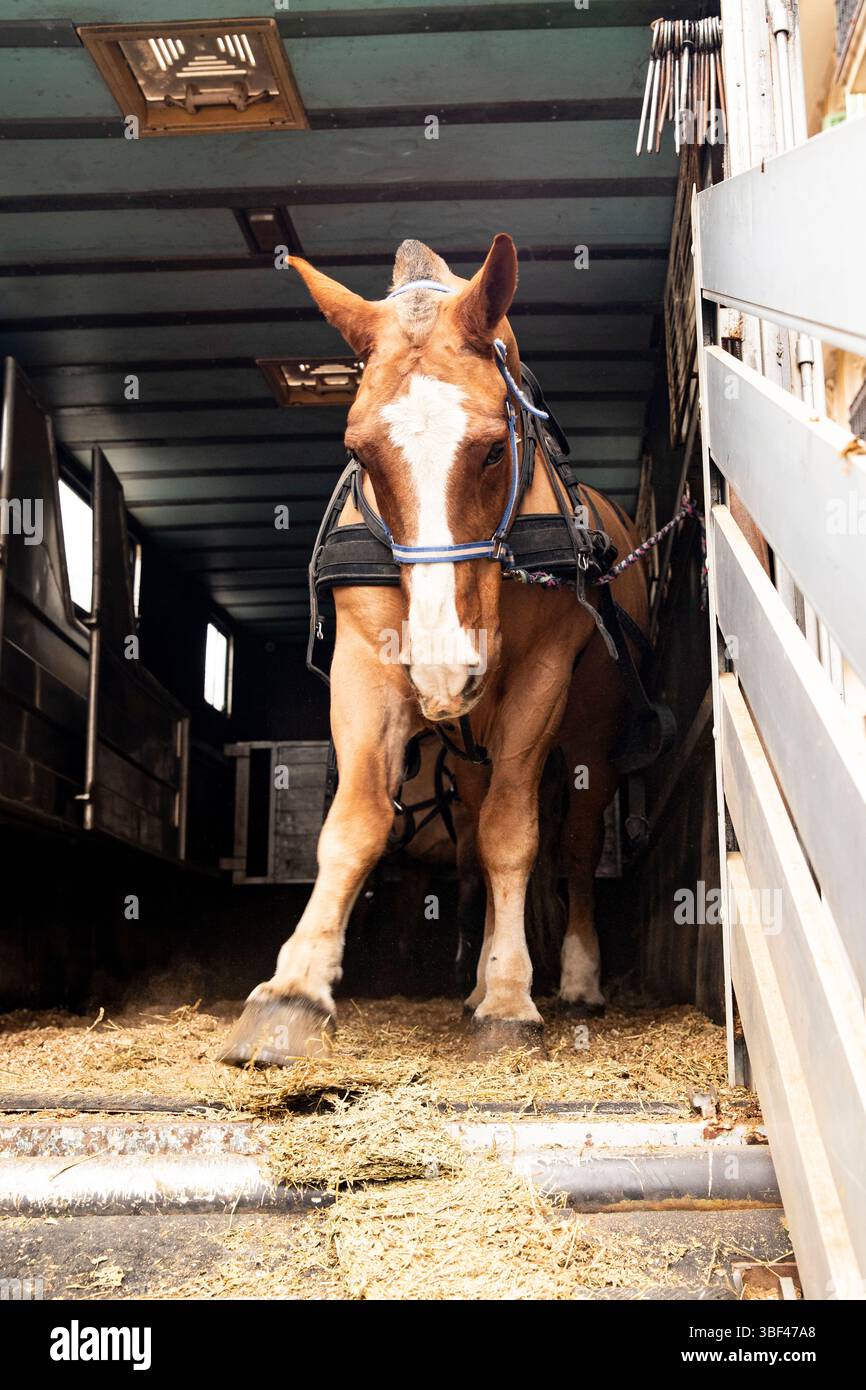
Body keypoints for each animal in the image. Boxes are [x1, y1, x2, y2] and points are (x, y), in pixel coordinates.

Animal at [221, 234, 648, 1065]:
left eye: (490, 452)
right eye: (360, 452)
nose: (445, 666)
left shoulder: (540, 686)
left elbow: (516, 835)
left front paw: (512, 1000)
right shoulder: (365, 668)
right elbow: (355, 823)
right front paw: (292, 990)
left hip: (588, 738)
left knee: (575, 845)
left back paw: (576, 978)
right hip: (469, 749)